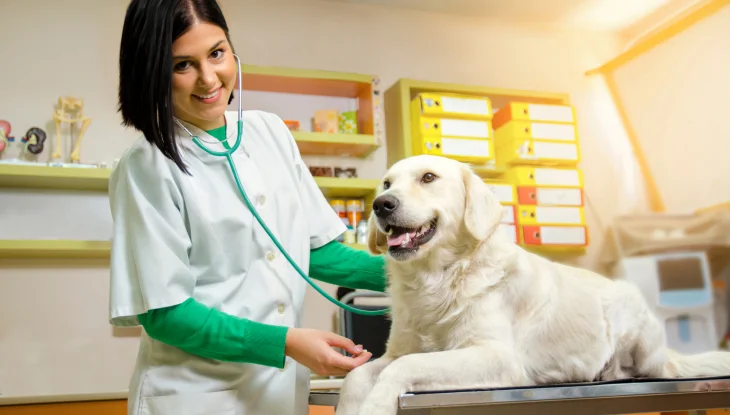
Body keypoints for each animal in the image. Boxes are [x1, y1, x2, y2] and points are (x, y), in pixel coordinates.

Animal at [334, 155, 728, 415]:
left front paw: (376, 405)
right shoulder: (395, 352)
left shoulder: (497, 356)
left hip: (631, 318)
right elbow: (356, 377)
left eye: (428, 178)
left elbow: (407, 366)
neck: (440, 278)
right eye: (387, 183)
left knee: (656, 370)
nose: (381, 205)